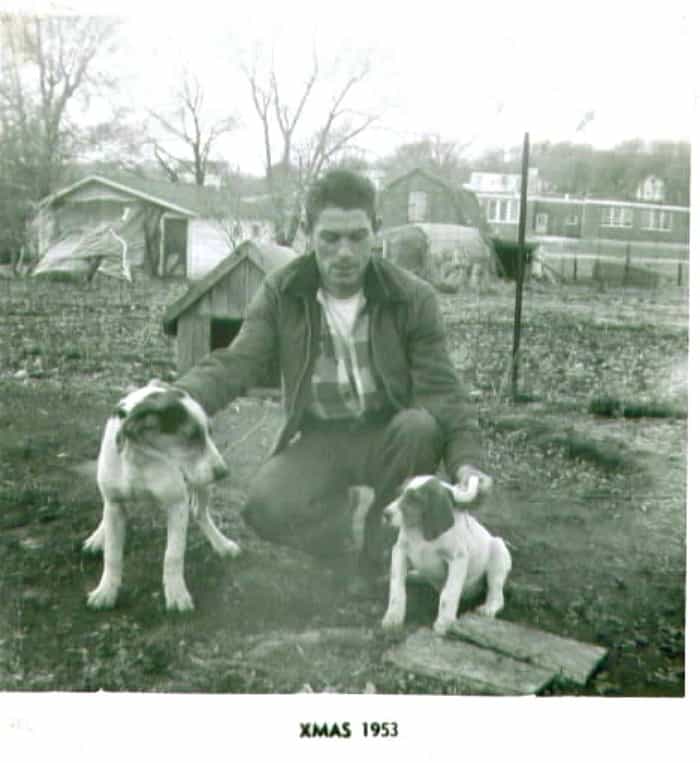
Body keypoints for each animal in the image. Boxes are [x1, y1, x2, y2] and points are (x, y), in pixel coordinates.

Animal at [81, 382, 241, 616]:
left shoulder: (177, 505)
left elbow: (172, 556)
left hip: (202, 484)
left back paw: (221, 543)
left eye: (209, 433)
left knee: (200, 514)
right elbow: (112, 555)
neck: (140, 456)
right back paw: (98, 537)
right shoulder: (115, 505)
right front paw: (106, 591)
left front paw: (176, 593)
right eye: (191, 436)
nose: (224, 472)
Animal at [380, 474, 512, 636]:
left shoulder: (457, 559)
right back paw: (412, 575)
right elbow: (397, 589)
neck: (420, 530)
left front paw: (444, 623)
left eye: (413, 498)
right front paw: (393, 618)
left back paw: (488, 608)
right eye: (399, 493)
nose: (385, 513)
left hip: (498, 550)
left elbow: (448, 594)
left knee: (497, 594)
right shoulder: (399, 551)